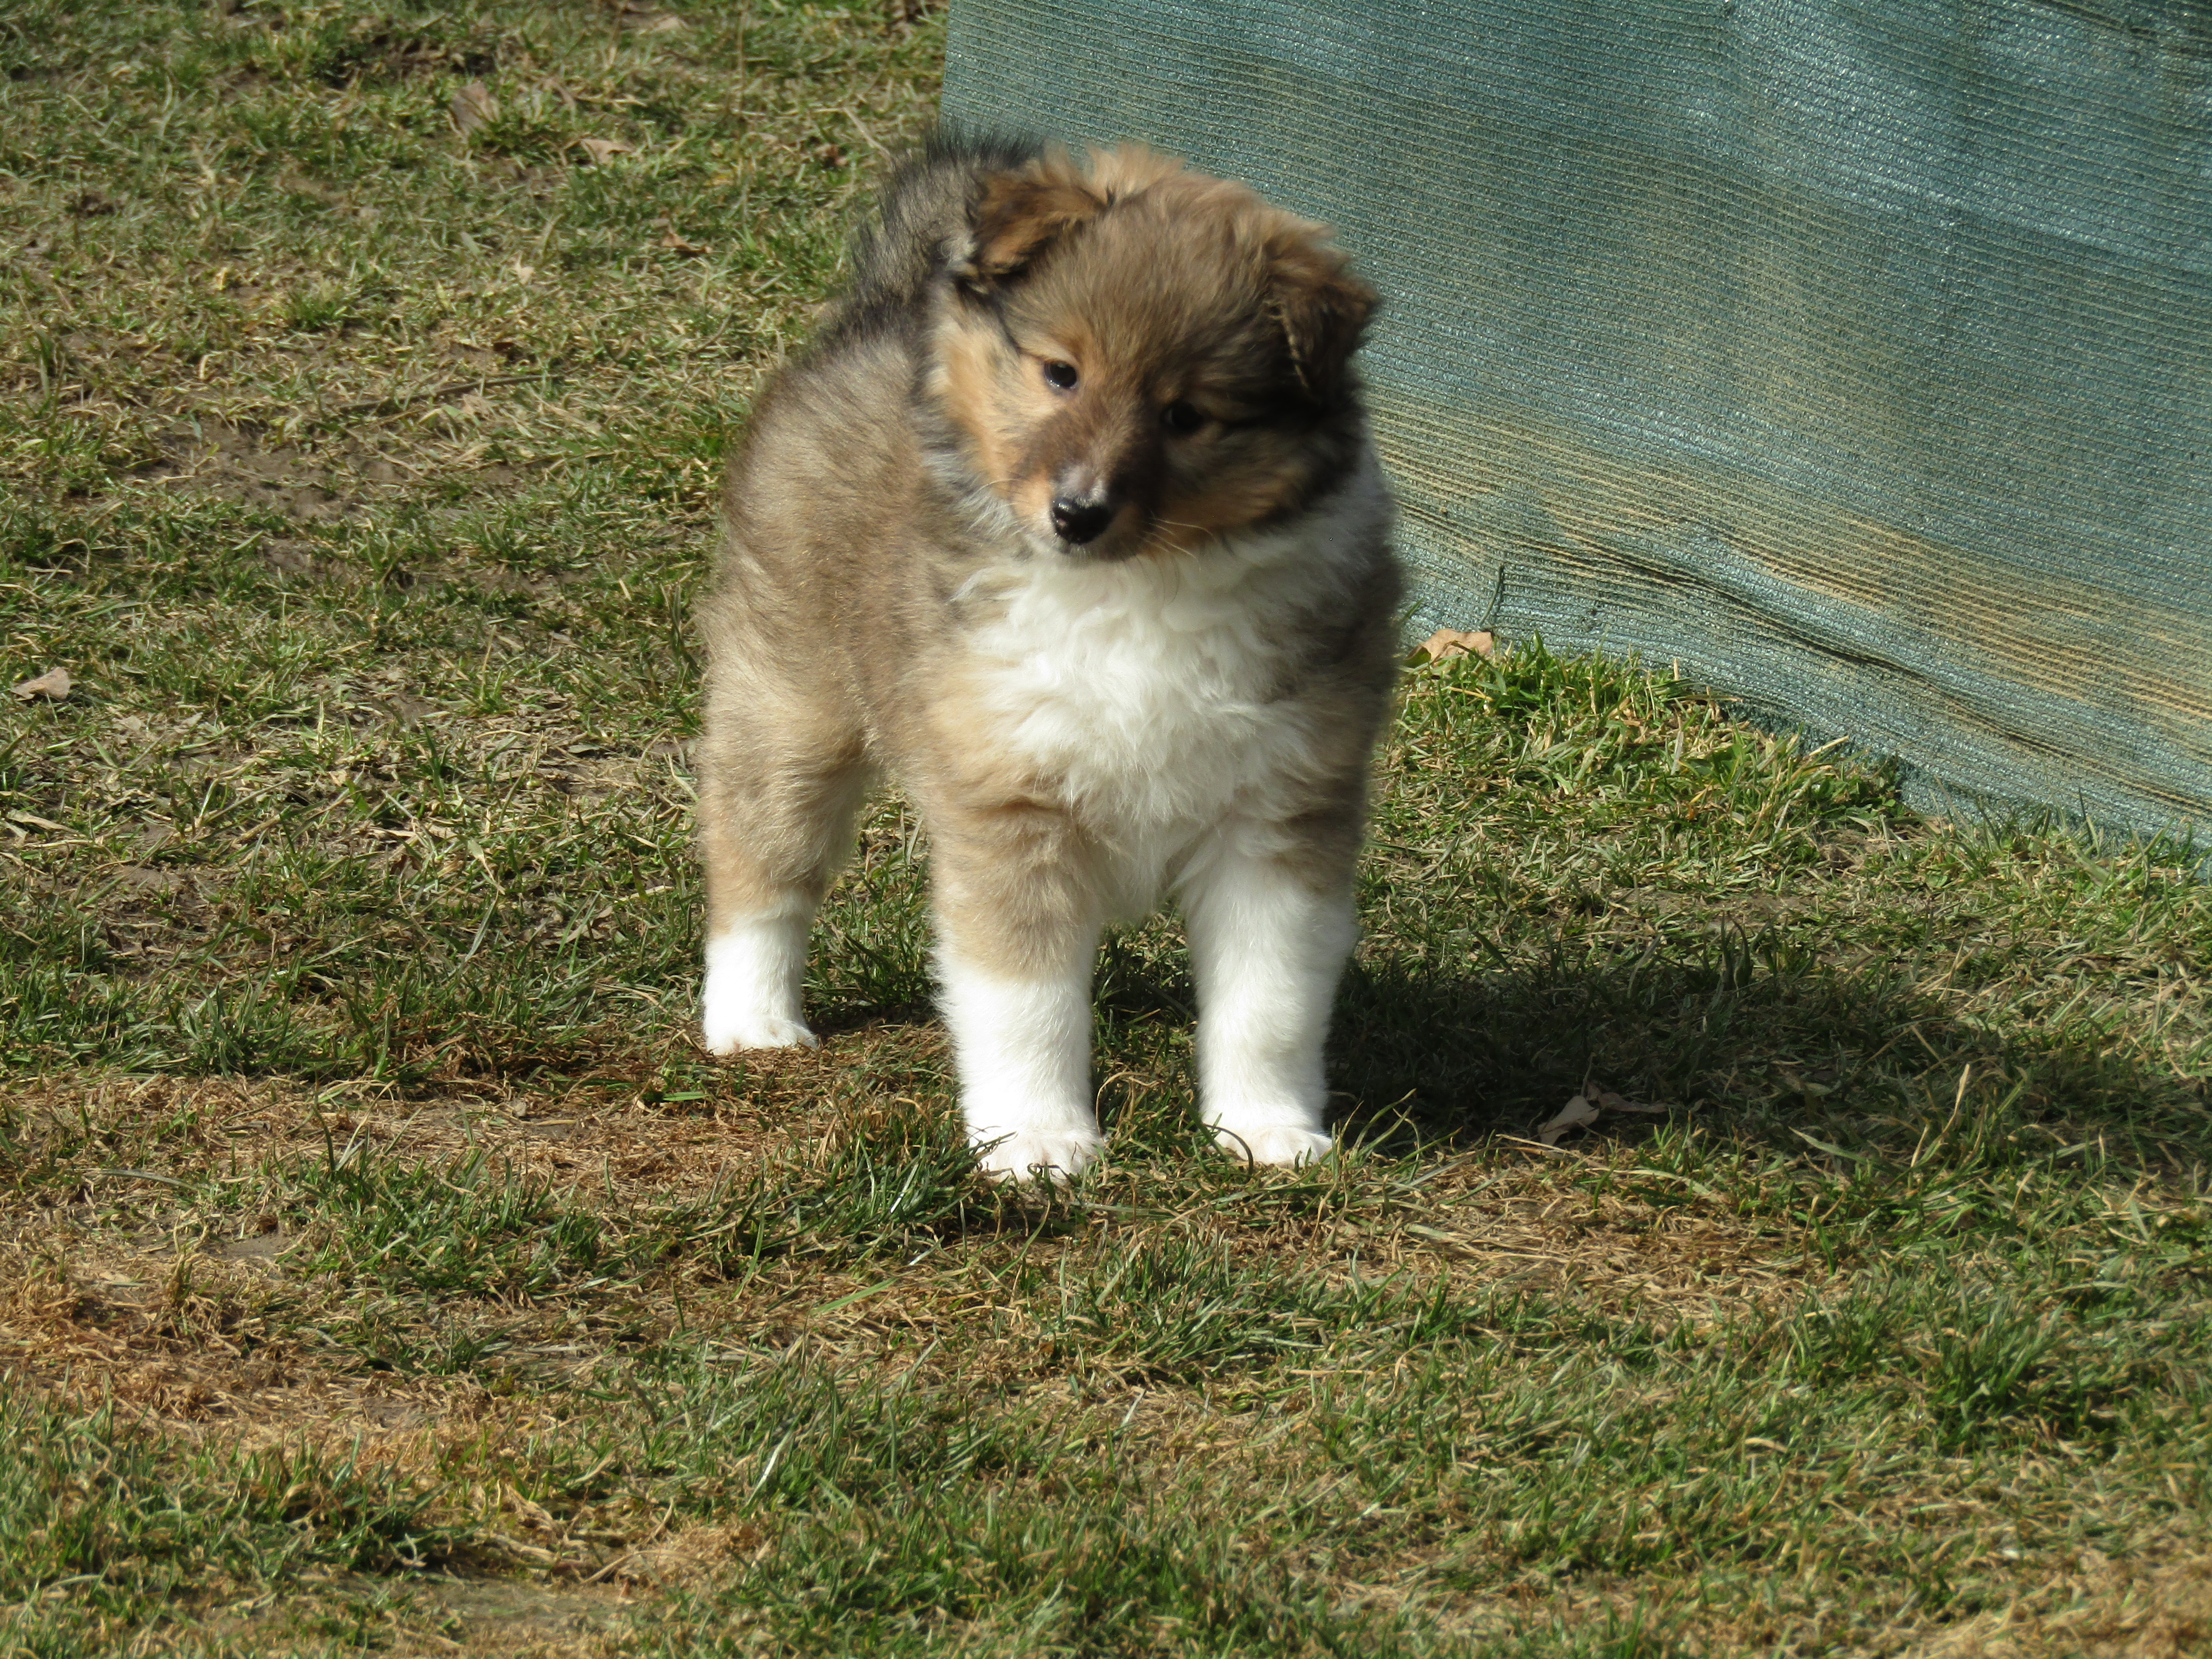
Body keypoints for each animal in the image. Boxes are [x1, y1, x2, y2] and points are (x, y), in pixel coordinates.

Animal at [694, 137, 1398, 1185]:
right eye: (1061, 374)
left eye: (1186, 415)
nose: (1077, 513)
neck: (1134, 587)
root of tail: (883, 311)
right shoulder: (1012, 807)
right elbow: (1023, 1003)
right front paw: (1037, 1143)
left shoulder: (1278, 816)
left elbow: (1269, 1000)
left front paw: (1267, 1130)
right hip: (788, 698)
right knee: (760, 866)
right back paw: (754, 1023)